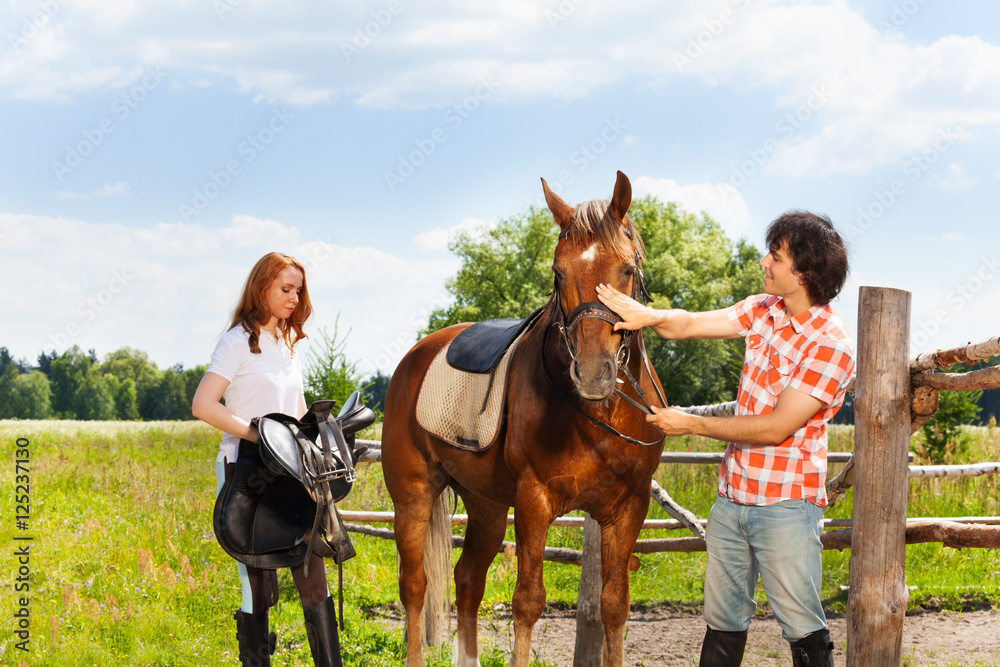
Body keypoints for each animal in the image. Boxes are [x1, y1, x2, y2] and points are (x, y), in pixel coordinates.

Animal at [382, 172, 664, 667]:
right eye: (558, 272)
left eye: (627, 270)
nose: (593, 373)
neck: (600, 414)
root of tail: (415, 358)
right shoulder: (534, 500)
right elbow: (528, 601)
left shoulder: (629, 506)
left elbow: (614, 604)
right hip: (413, 497)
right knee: (415, 587)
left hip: (487, 505)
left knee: (467, 580)